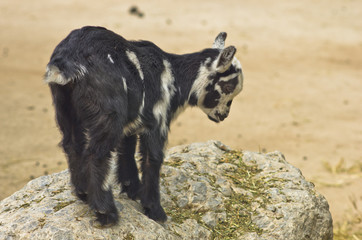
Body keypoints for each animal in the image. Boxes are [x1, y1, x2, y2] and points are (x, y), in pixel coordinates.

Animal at [44, 26, 243, 227]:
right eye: (228, 87)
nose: (224, 115)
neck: (176, 76)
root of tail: (68, 61)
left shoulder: (131, 124)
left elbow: (127, 152)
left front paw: (132, 189)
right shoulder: (158, 121)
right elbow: (152, 159)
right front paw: (154, 210)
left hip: (65, 108)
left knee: (72, 145)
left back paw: (83, 191)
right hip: (109, 114)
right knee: (97, 154)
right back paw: (106, 211)